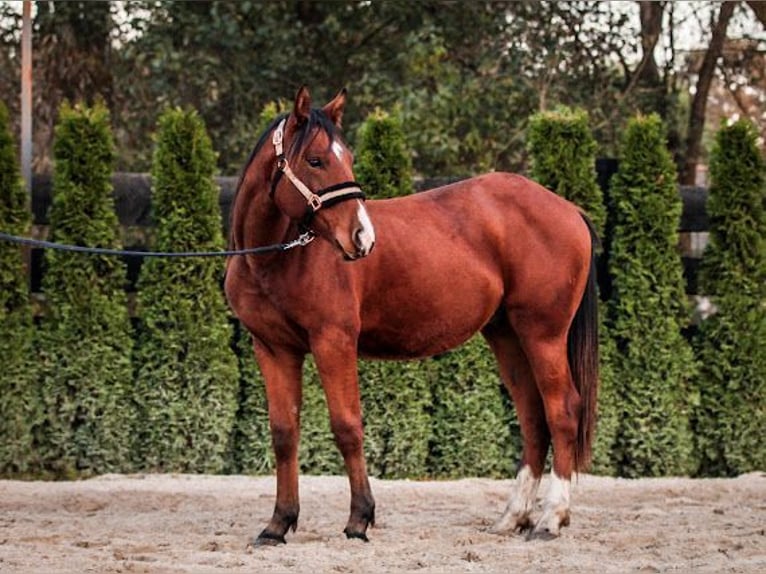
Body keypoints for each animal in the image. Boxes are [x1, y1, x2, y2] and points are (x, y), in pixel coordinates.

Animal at [225, 88, 604, 548]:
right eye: (315, 160)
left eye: (347, 156)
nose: (362, 237)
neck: (274, 259)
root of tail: (568, 209)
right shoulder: (273, 348)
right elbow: (284, 433)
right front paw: (278, 524)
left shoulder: (333, 342)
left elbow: (347, 426)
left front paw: (359, 520)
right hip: (508, 336)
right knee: (533, 417)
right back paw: (513, 517)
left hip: (543, 335)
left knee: (562, 411)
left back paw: (550, 519)